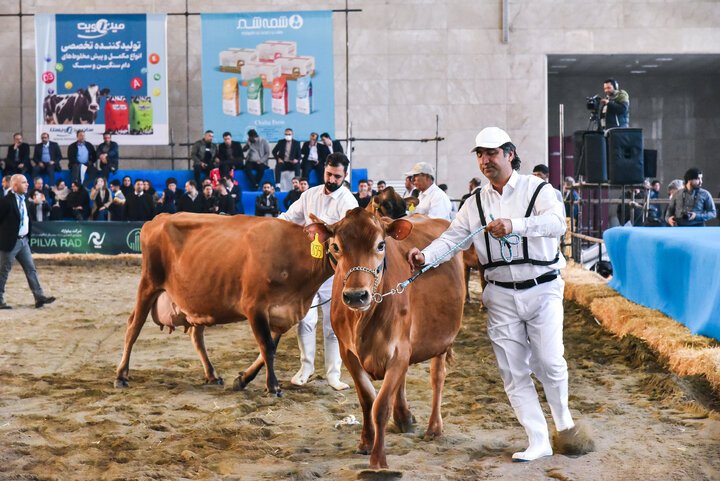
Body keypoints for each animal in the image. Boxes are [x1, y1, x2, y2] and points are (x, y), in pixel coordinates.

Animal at [114, 213, 334, 394]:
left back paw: (211, 374)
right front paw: (273, 386)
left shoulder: (282, 313)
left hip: (197, 300)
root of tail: (158, 219)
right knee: (133, 327)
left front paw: (243, 379)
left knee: (196, 336)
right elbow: (267, 347)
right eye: (335, 243)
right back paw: (121, 375)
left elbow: (267, 350)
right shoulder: (255, 307)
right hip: (148, 284)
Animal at [306, 208, 464, 466]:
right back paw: (403, 417)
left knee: (437, 378)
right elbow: (367, 399)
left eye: (381, 245)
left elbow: (380, 406)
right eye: (335, 246)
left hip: (442, 342)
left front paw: (378, 459)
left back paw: (433, 428)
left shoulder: (399, 351)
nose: (356, 296)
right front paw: (366, 442)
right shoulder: (347, 352)